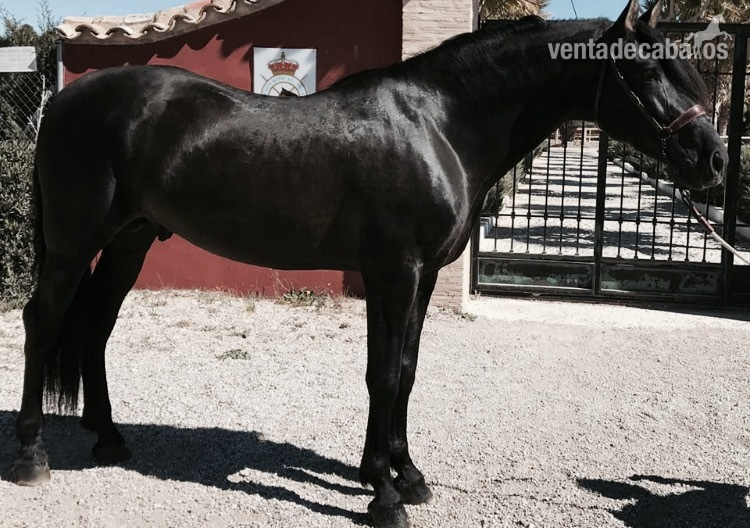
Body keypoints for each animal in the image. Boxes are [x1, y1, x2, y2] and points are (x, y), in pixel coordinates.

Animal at [11, 0, 727, 526]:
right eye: (646, 72)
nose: (714, 158)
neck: (439, 125)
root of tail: (65, 100)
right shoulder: (397, 271)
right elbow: (384, 375)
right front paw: (384, 497)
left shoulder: (419, 276)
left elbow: (402, 370)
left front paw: (400, 474)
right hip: (74, 245)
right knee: (44, 323)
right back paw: (30, 456)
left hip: (130, 241)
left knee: (96, 326)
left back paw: (109, 439)